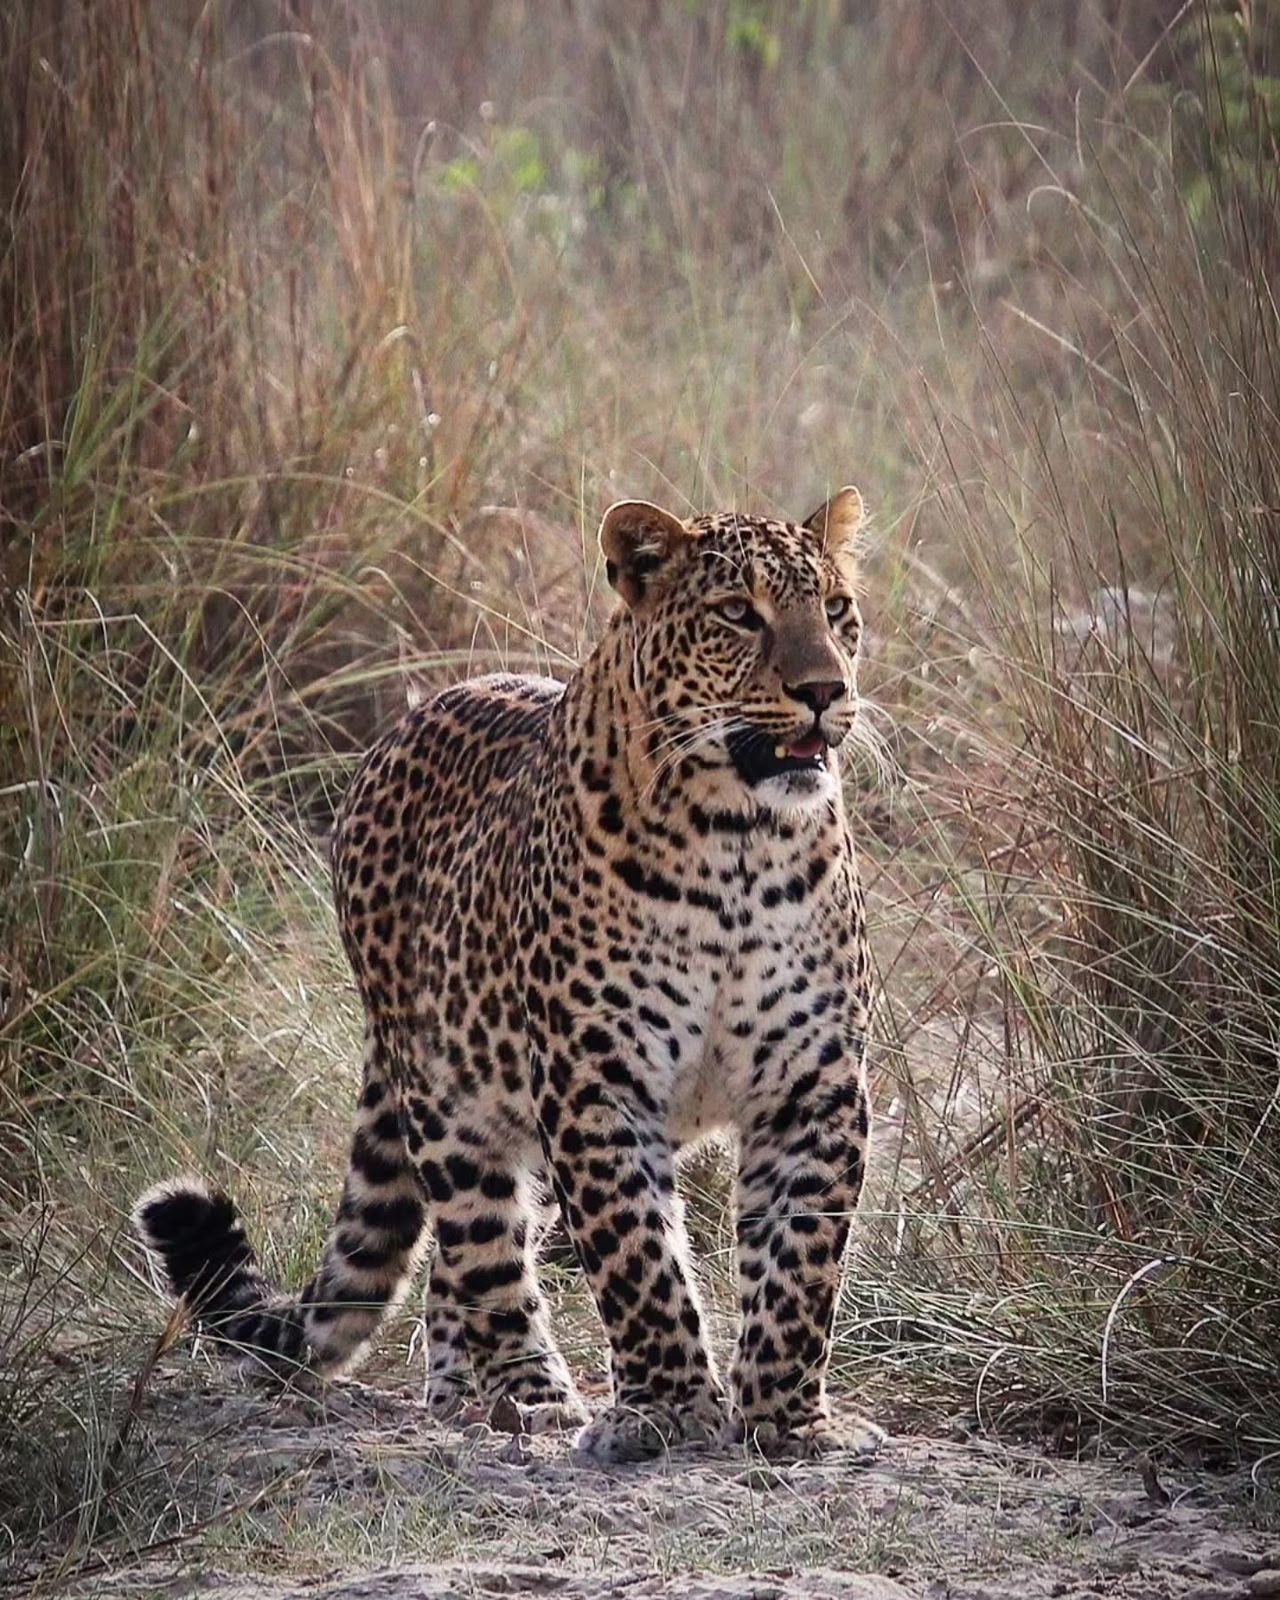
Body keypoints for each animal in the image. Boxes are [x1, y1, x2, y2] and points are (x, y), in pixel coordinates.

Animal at [134, 486, 885, 1465]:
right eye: (737, 614)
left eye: (836, 610)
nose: (824, 691)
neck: (740, 847)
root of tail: (418, 711)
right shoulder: (597, 1084)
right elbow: (637, 1256)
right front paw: (668, 1408)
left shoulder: (815, 1085)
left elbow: (800, 1262)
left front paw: (788, 1419)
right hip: (448, 1102)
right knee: (478, 1252)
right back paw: (526, 1396)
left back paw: (470, 1394)